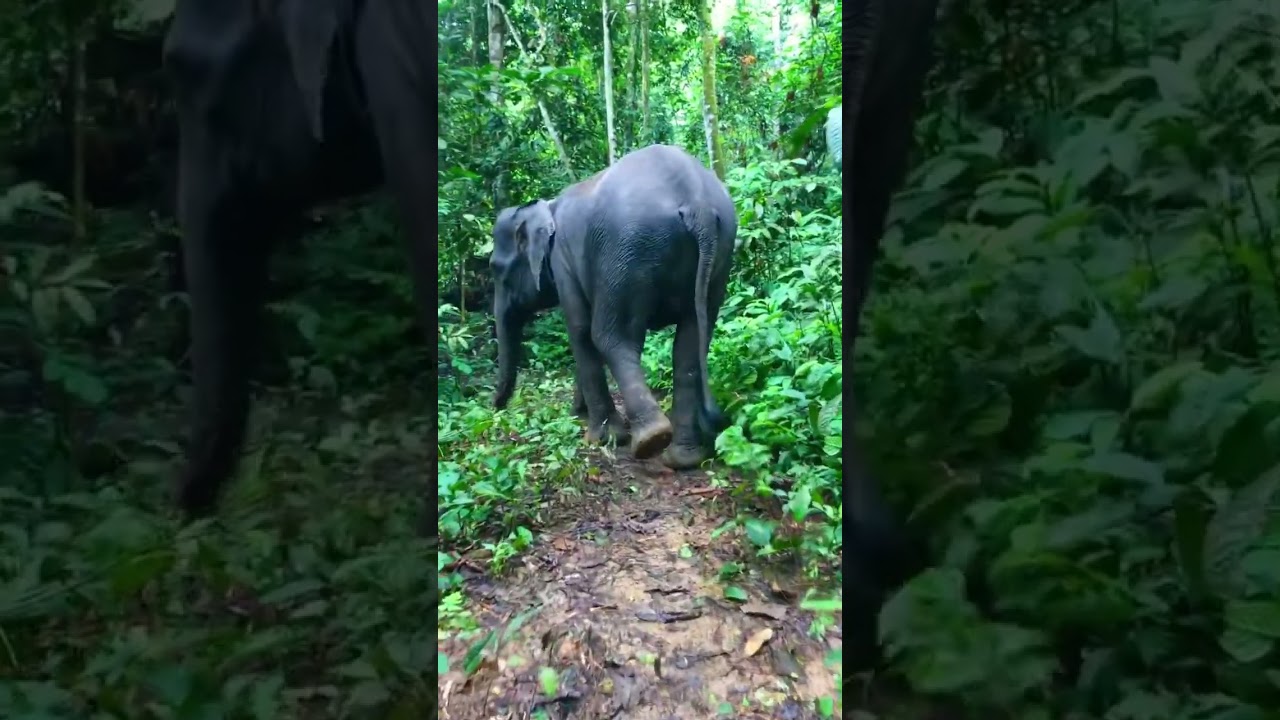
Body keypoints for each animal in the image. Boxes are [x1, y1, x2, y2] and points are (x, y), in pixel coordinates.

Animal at [490, 144, 735, 469]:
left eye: (494, 268)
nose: (496, 407)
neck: (548, 206)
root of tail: (698, 203)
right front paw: (579, 414)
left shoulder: (564, 262)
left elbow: (579, 331)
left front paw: (598, 436)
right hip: (719, 255)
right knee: (689, 344)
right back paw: (683, 457)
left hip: (627, 253)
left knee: (610, 336)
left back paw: (650, 439)